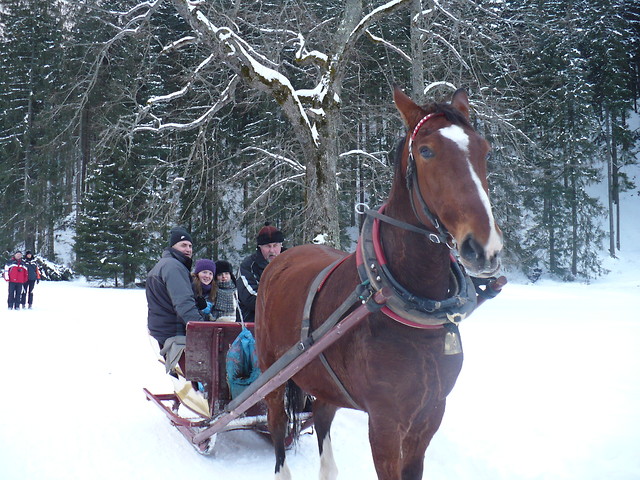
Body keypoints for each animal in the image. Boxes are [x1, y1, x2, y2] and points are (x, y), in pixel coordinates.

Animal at [258, 88, 502, 478]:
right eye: (426, 151)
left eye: (484, 149)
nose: (484, 247)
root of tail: (281, 257)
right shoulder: (385, 424)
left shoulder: (429, 416)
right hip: (272, 371)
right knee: (277, 422)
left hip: (324, 380)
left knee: (322, 417)